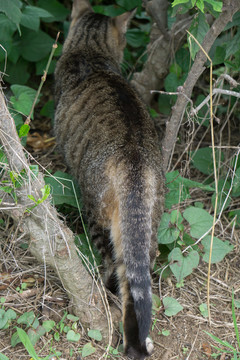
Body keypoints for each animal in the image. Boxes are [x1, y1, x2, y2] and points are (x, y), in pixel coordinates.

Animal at [54, 1, 165, 358]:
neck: (89, 50)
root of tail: (133, 156)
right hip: (149, 222)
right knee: (138, 275)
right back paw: (138, 340)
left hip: (96, 211)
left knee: (113, 263)